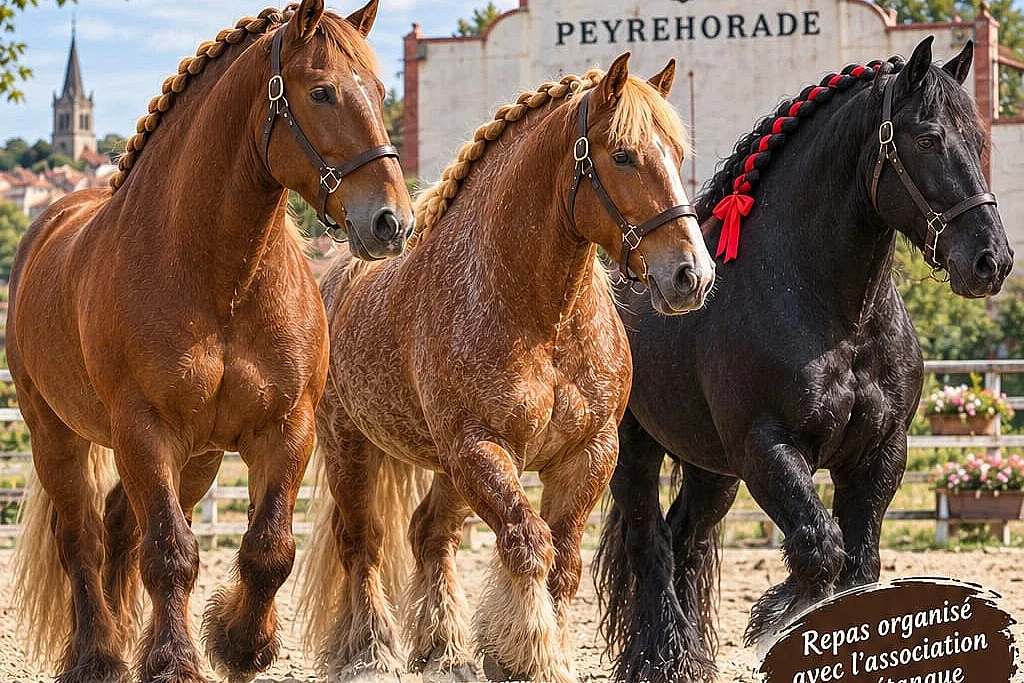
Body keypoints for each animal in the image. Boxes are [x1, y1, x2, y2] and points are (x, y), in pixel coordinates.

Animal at [9, 2, 412, 682]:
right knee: (82, 539)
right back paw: (98, 652)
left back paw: (128, 639)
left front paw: (240, 642)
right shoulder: (145, 430)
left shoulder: (285, 428)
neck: (220, 281)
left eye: (382, 92)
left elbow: (268, 549)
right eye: (321, 91)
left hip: (195, 459)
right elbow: (170, 552)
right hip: (54, 434)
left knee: (119, 529)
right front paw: (176, 661)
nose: (392, 222)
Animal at [295, 53, 716, 683]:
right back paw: (368, 652)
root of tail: (338, 275)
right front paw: (531, 656)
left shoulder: (587, 454)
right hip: (351, 445)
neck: (542, 316)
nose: (692, 274)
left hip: (444, 467)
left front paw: (532, 652)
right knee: (362, 543)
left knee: (430, 534)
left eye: (678, 155)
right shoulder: (483, 447)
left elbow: (563, 561)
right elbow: (528, 544)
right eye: (622, 155)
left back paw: (443, 649)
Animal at [594, 37, 1014, 683]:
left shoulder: (879, 453)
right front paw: (774, 617)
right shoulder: (767, 448)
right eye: (927, 138)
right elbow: (820, 550)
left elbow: (859, 563)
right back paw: (657, 659)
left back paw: (689, 656)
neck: (836, 316)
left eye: (979, 140)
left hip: (712, 471)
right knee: (651, 544)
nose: (991, 261)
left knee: (685, 538)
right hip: (635, 453)